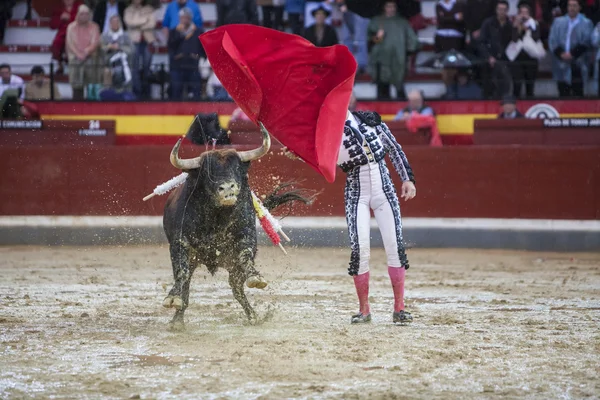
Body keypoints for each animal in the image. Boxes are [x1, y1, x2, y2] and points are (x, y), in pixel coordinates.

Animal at [162, 126, 316, 328]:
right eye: (207, 172)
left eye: (237, 168)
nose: (228, 188)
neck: (218, 216)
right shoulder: (180, 243)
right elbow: (182, 272)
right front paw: (173, 298)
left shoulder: (246, 235)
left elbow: (245, 256)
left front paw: (256, 277)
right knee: (186, 287)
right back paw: (177, 319)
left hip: (232, 266)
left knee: (237, 289)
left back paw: (253, 316)